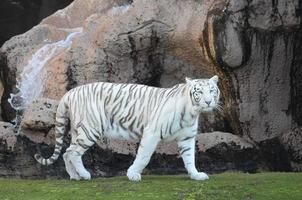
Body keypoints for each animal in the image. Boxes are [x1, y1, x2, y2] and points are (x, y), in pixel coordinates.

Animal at [34, 75, 219, 181]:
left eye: (212, 91)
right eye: (199, 92)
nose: (208, 101)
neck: (191, 112)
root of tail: (70, 92)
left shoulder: (187, 138)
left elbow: (189, 158)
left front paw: (196, 175)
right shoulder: (151, 133)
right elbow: (143, 156)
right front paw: (133, 175)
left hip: (77, 131)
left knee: (67, 152)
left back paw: (74, 176)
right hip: (90, 129)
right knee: (73, 152)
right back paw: (85, 175)